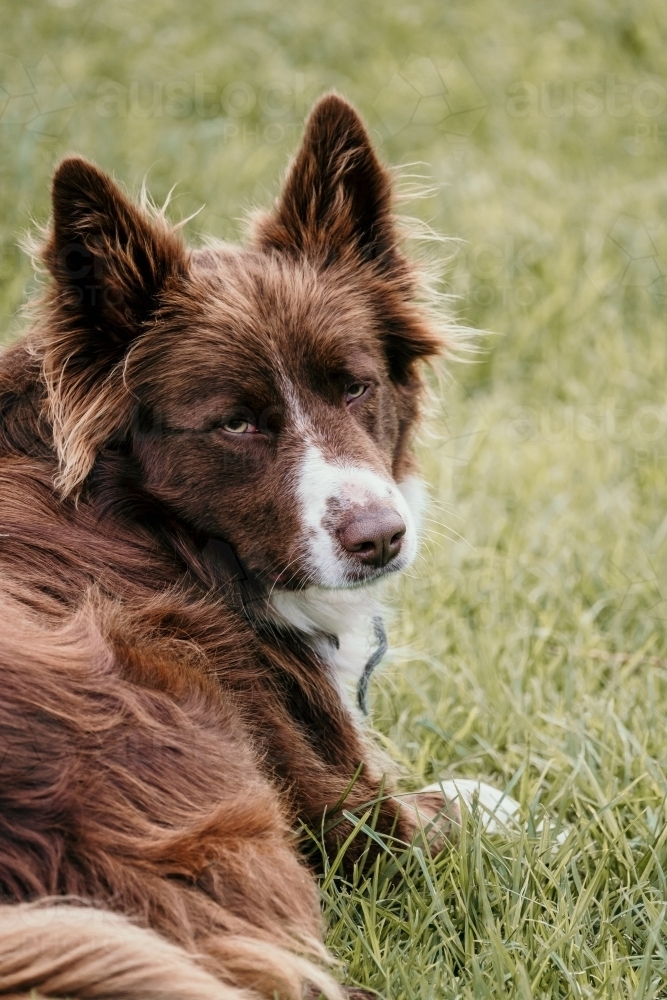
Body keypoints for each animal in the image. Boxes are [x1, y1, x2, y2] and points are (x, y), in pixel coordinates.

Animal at [0, 94, 516, 1000]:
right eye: (235, 423)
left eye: (355, 385)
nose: (380, 538)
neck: (137, 516)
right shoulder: (339, 807)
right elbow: (456, 810)